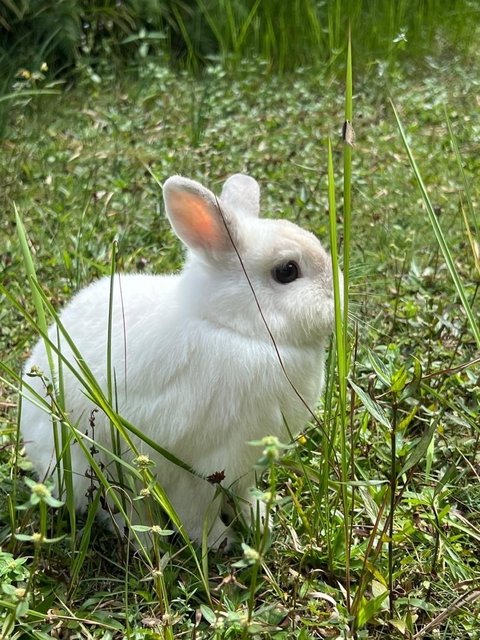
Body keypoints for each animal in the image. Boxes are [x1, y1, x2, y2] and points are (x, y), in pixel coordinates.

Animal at [19, 175, 334, 552]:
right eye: (287, 271)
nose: (336, 298)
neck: (231, 328)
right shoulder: (197, 469)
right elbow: (197, 514)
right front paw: (220, 542)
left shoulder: (247, 464)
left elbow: (244, 496)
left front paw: (261, 521)